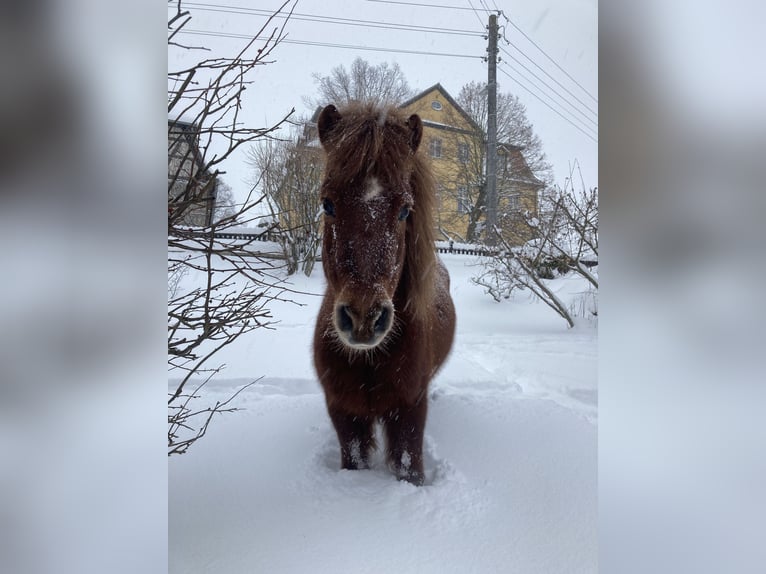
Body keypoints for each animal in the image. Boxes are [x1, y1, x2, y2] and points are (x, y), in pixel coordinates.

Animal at [314, 103, 456, 486]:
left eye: (406, 209)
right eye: (327, 204)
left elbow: (410, 468)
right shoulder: (345, 414)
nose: (364, 317)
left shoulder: (408, 413)